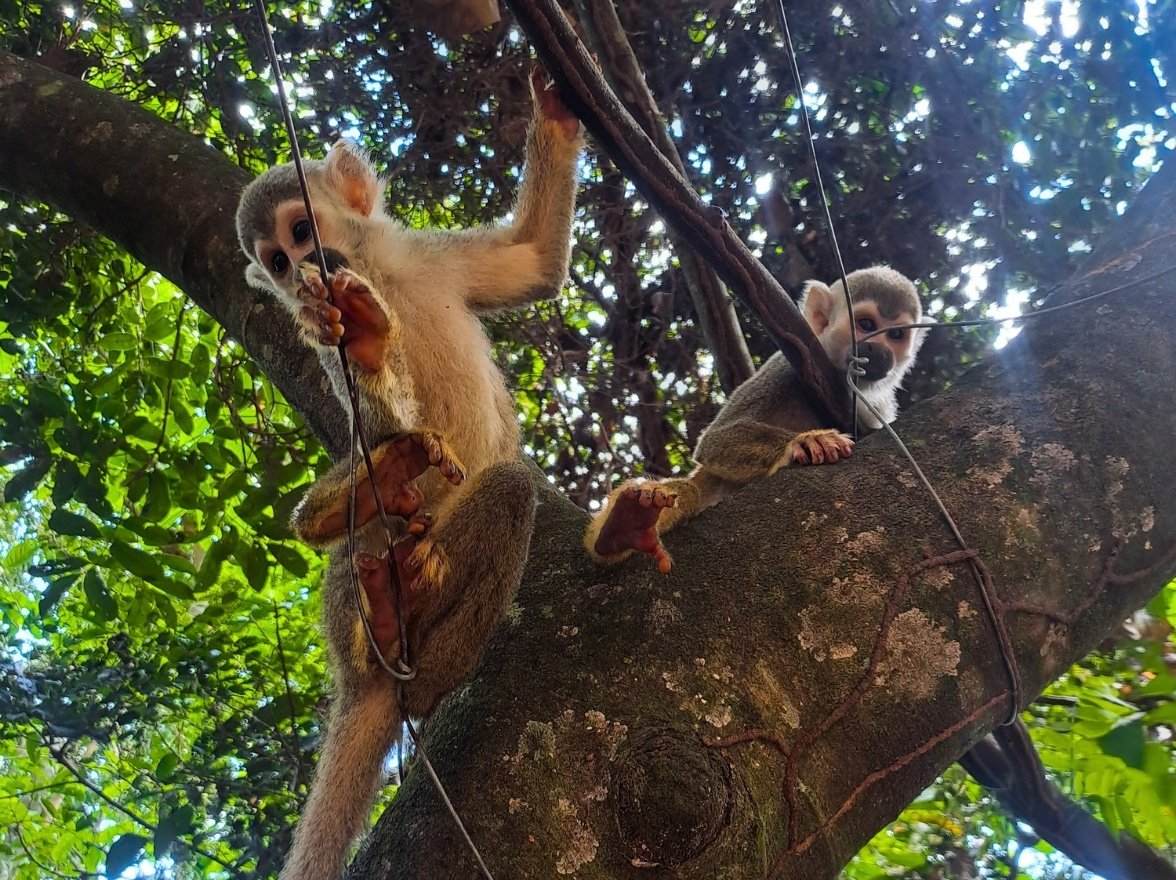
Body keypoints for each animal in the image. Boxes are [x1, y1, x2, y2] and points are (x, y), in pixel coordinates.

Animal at [235, 69, 583, 880]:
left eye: (301, 234)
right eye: (276, 263)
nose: (304, 270)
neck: (380, 274)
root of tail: (358, 677)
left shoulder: (433, 257)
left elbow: (534, 260)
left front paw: (554, 111)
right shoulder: (312, 325)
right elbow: (373, 412)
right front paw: (365, 345)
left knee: (503, 492)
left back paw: (414, 607)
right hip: (354, 598)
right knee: (387, 514)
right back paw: (364, 531)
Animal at [584, 266, 926, 573]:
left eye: (896, 335)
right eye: (867, 324)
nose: (881, 352)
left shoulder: (880, 405)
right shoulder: (785, 366)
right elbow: (714, 442)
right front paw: (805, 441)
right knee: (691, 490)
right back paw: (623, 525)